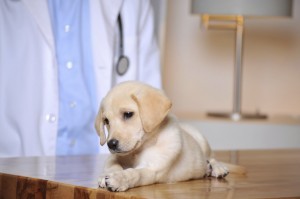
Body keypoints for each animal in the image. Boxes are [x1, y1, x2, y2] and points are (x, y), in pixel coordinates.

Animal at [95, 80, 245, 191]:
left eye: (128, 114)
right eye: (106, 121)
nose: (111, 144)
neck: (138, 150)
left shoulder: (153, 170)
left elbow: (135, 173)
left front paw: (119, 179)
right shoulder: (113, 158)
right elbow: (113, 165)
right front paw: (107, 174)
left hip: (202, 139)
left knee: (212, 157)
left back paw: (217, 168)